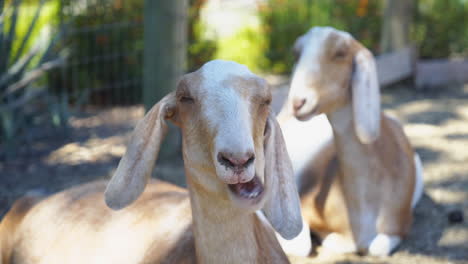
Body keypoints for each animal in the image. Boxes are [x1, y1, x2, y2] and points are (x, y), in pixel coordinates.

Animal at [278, 26, 424, 256]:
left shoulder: (400, 225)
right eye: (296, 53)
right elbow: (302, 245)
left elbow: (377, 247)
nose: (298, 102)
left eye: (340, 53)